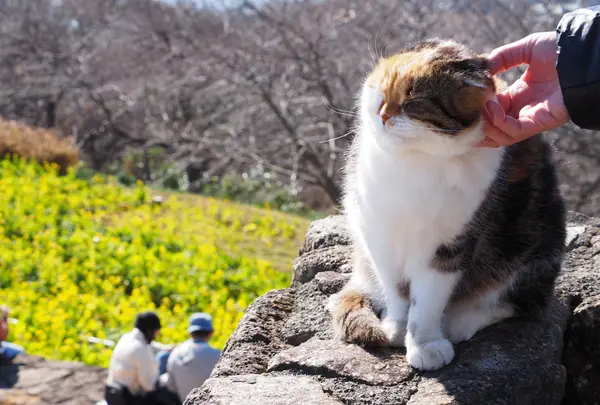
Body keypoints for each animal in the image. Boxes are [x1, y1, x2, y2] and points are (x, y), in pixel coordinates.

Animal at [328, 38, 568, 370]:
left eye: (413, 101)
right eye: (382, 91)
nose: (383, 114)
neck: (414, 162)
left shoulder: (449, 244)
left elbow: (427, 300)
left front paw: (425, 343)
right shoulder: (378, 233)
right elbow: (396, 291)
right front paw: (397, 326)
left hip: (540, 240)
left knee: (519, 302)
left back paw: (460, 321)